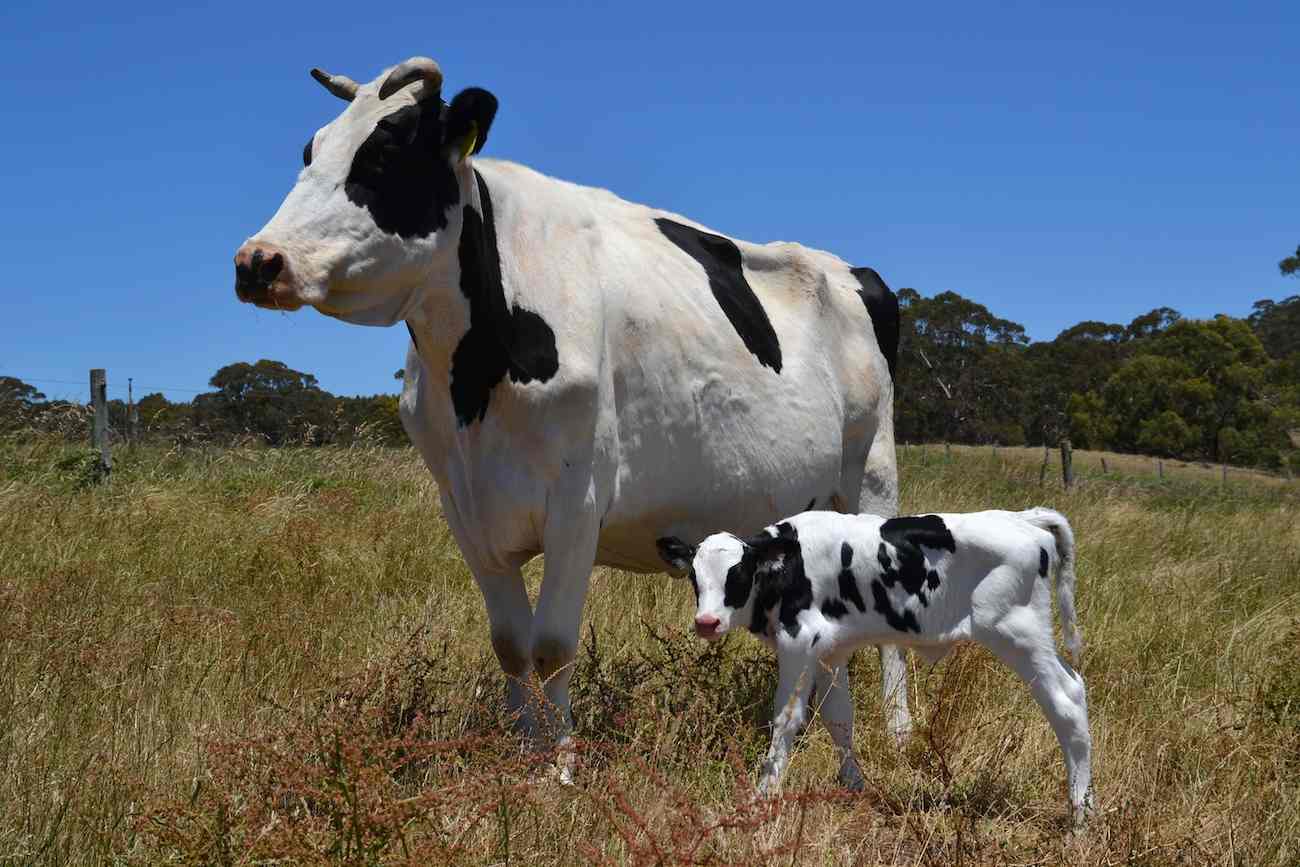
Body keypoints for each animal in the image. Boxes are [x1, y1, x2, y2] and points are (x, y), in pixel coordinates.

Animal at [232, 56, 912, 766]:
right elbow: (510, 644)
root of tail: (852, 271)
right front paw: (521, 748)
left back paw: (896, 734)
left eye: (385, 153)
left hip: (871, 474)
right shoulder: (465, 508)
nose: (257, 261)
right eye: (310, 151)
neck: (474, 383)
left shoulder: (578, 501)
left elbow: (553, 645)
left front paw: (559, 767)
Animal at [657, 507, 1093, 824]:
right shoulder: (830, 651)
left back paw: (1080, 813)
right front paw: (853, 785)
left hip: (1018, 634)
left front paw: (765, 793)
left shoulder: (798, 642)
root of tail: (1023, 518)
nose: (706, 622)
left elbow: (786, 718)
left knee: (1066, 701)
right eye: (694, 575)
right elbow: (839, 719)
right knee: (1075, 686)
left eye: (739, 573)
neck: (790, 566)